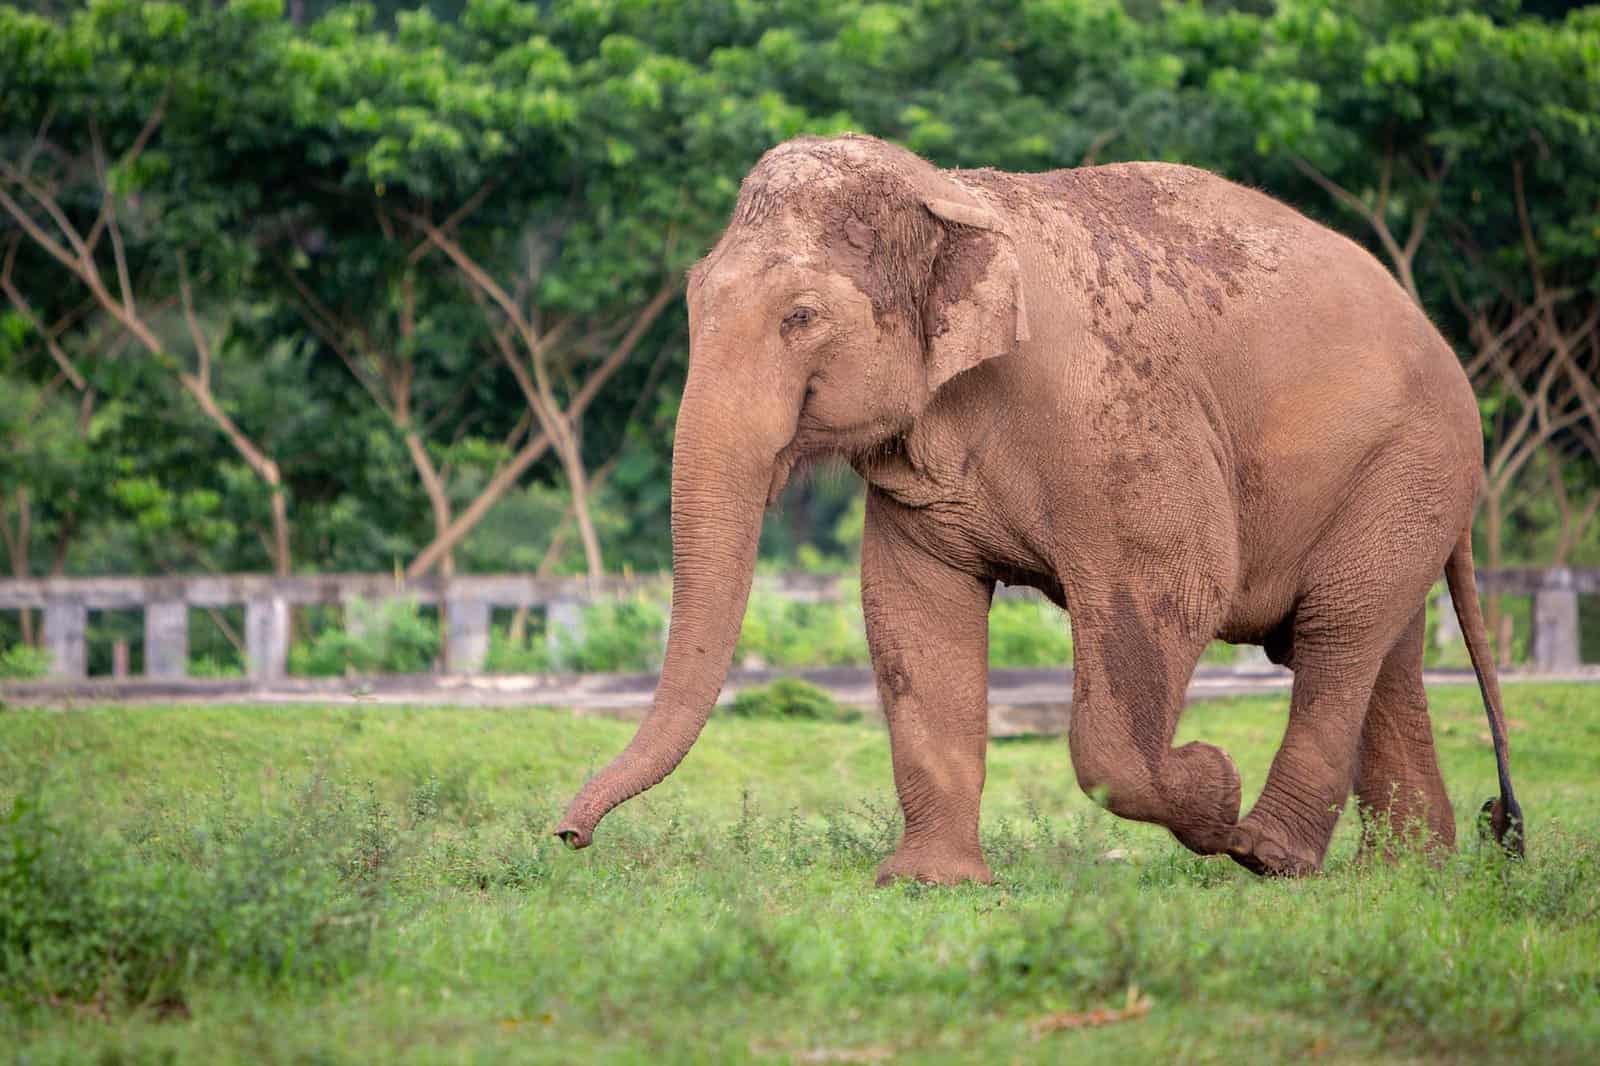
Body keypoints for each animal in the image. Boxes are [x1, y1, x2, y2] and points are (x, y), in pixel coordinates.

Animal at [556, 133, 1522, 883]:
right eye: (693, 302)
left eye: (800, 316)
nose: (568, 834)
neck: (953, 194)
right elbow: (911, 614)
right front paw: (928, 884)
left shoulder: (1121, 416)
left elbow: (1177, 588)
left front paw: (1210, 785)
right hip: (1402, 485)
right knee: (1383, 646)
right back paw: (1409, 873)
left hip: (1414, 461)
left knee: (1336, 633)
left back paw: (1266, 855)